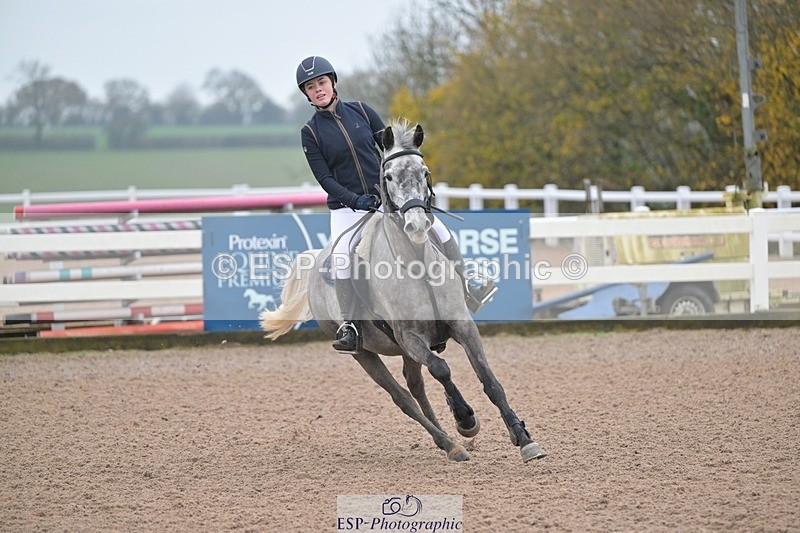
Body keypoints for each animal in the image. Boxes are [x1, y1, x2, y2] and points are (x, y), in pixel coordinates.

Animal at [260, 119, 546, 463]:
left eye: (424, 172)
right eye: (389, 176)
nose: (417, 226)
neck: (416, 263)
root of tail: (315, 259)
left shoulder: (462, 325)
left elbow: (489, 381)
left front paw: (523, 438)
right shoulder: (410, 337)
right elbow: (441, 369)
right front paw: (465, 418)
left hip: (404, 352)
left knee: (416, 385)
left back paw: (450, 441)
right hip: (365, 354)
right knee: (403, 398)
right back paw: (450, 442)